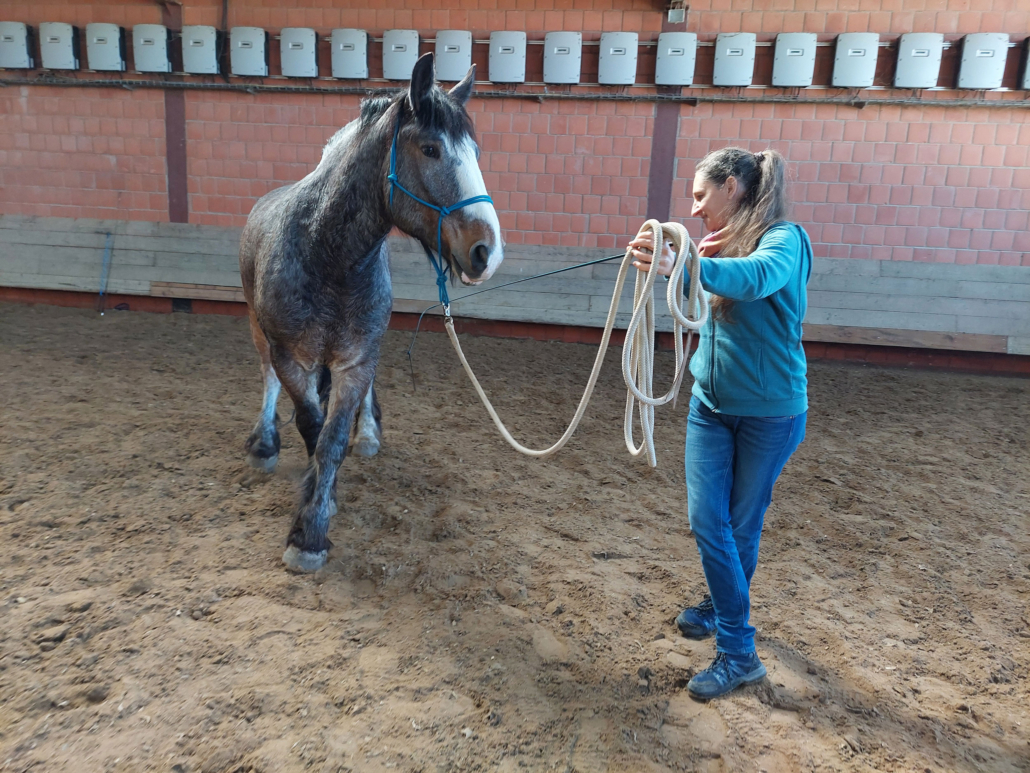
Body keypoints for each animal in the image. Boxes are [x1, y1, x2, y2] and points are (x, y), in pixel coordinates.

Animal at [239, 53, 503, 573]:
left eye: (477, 153)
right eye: (430, 149)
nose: (487, 250)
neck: (329, 256)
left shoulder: (357, 361)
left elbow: (333, 438)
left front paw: (315, 521)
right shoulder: (291, 357)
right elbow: (310, 424)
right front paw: (314, 516)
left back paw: (368, 435)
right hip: (260, 332)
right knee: (267, 379)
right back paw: (265, 444)